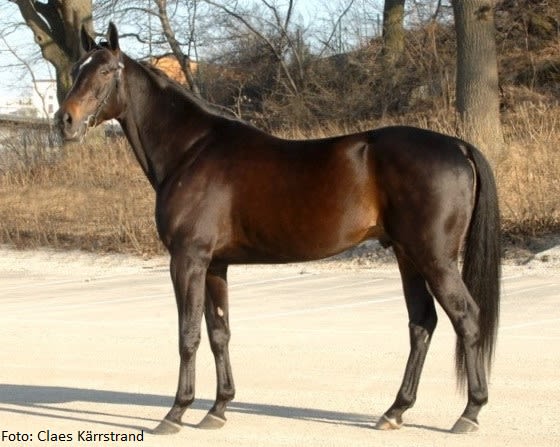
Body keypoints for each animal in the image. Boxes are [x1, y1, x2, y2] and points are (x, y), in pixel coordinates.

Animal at [55, 23, 501, 435]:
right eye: (77, 69)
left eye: (106, 70)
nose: (65, 121)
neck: (191, 151)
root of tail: (458, 146)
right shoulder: (215, 265)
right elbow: (219, 332)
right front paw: (218, 409)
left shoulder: (187, 260)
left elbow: (188, 335)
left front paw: (176, 412)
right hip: (408, 256)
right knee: (422, 324)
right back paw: (395, 411)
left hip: (434, 258)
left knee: (467, 319)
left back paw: (470, 412)